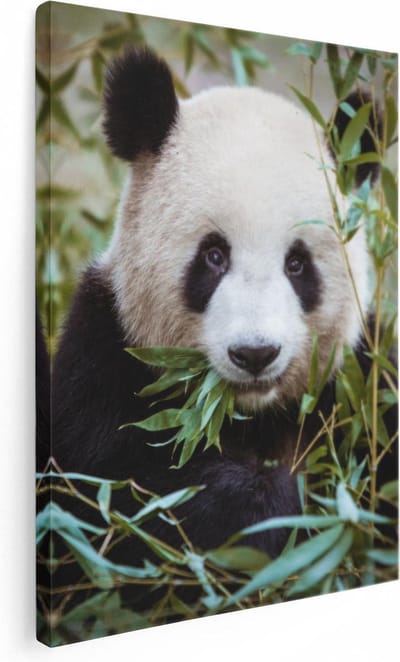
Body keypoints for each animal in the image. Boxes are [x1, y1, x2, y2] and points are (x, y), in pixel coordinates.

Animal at [51, 48, 393, 578]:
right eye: (214, 255)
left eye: (297, 264)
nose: (255, 353)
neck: (249, 416)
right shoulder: (102, 361)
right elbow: (129, 496)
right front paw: (264, 507)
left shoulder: (362, 385)